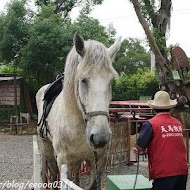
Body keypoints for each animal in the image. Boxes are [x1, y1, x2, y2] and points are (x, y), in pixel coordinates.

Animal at [36, 33, 120, 189]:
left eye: (111, 81)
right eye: (83, 80)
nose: (100, 137)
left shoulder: (98, 161)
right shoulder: (65, 161)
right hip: (48, 147)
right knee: (53, 172)